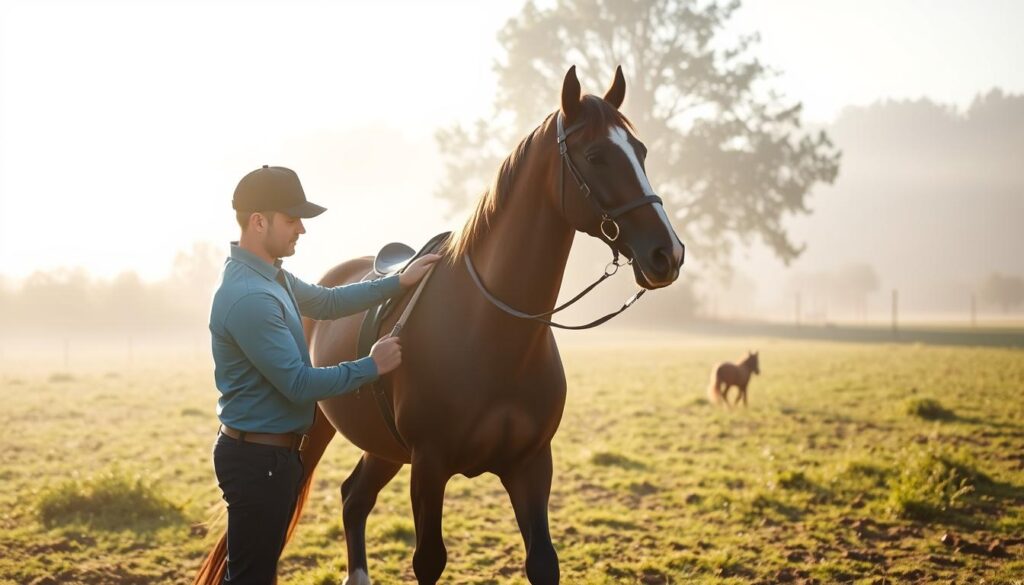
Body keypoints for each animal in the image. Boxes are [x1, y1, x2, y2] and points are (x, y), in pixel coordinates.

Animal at [194, 66, 684, 585]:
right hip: (320, 435)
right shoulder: (429, 466)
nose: (667, 254)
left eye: (641, 152)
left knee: (354, 498)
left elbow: (543, 562)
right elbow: (429, 560)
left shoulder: (532, 465)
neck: (492, 333)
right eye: (596, 156)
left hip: (384, 448)